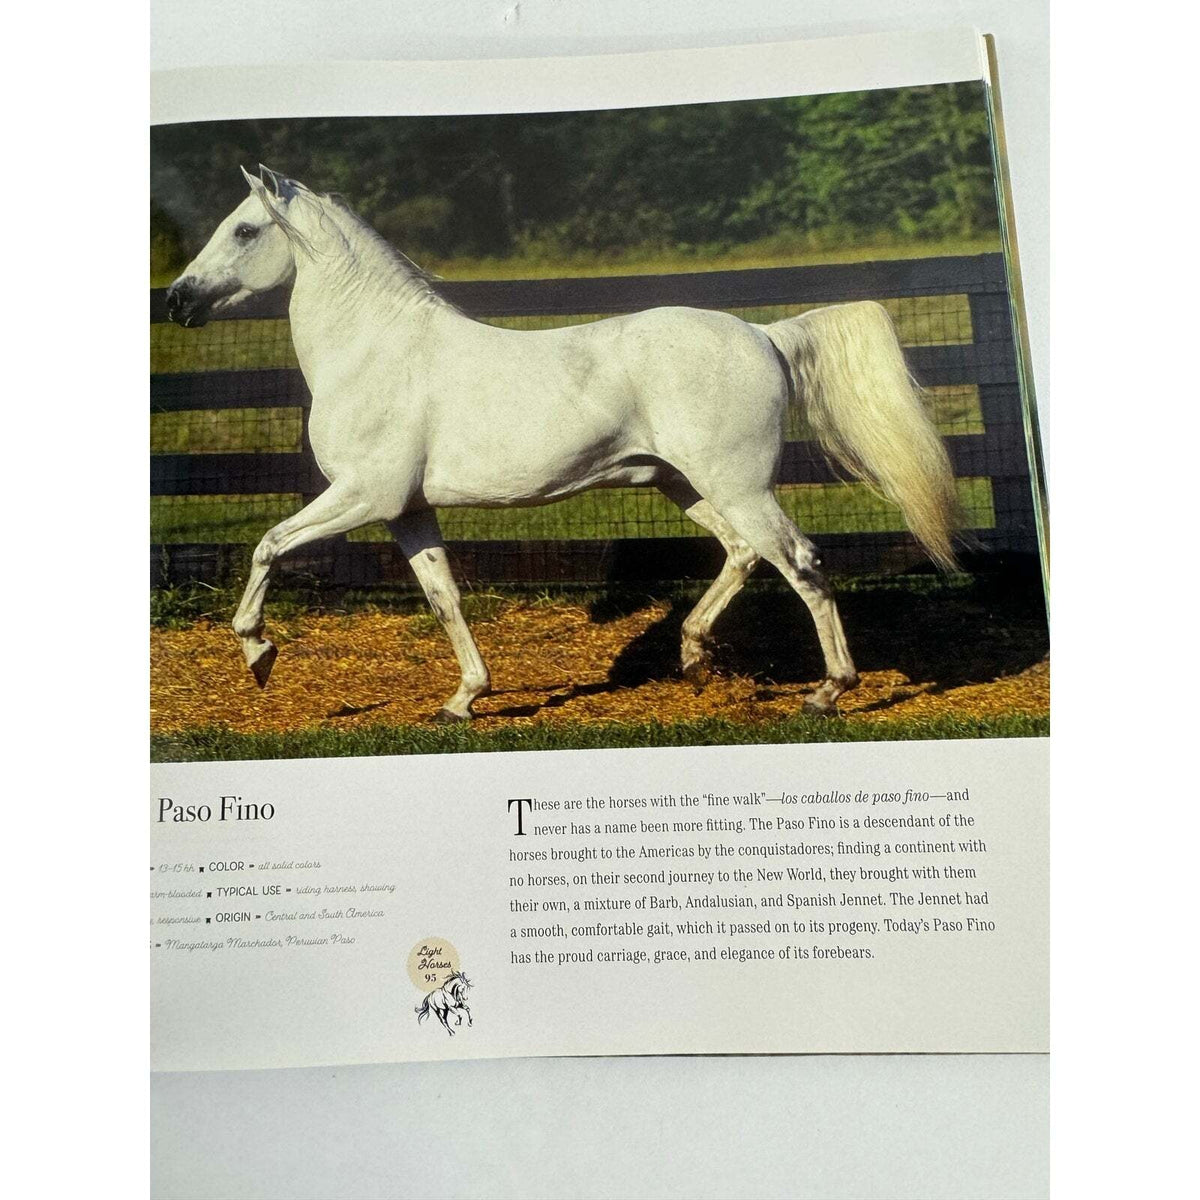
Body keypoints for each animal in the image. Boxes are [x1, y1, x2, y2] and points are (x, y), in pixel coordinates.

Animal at [165, 165, 959, 721]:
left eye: (244, 230)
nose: (176, 300)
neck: (377, 351)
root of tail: (765, 334)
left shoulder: (363, 496)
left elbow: (269, 545)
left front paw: (259, 654)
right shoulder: (406, 511)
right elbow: (444, 598)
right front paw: (463, 701)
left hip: (738, 485)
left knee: (800, 562)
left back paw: (828, 692)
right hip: (684, 483)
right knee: (743, 554)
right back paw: (693, 658)